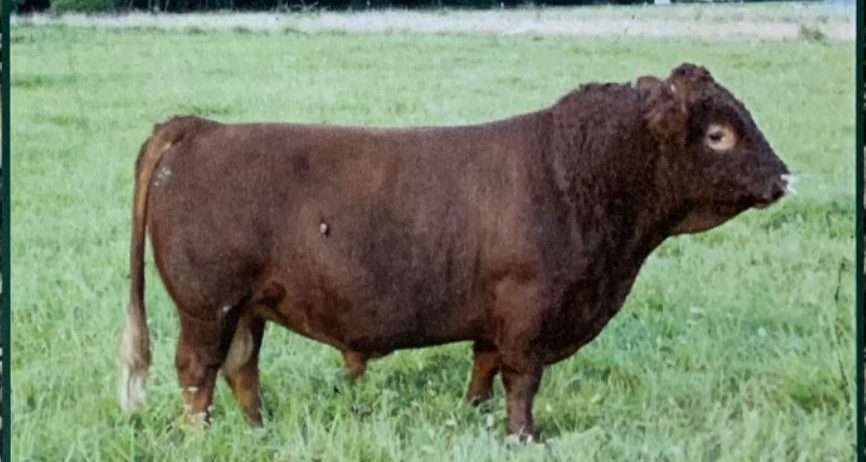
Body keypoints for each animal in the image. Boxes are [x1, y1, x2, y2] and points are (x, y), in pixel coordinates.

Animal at [119, 63, 790, 439]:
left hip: (247, 307)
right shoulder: (528, 315)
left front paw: (473, 417)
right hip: (207, 306)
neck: (575, 174)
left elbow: (484, 372)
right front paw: (525, 437)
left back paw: (260, 431)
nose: (784, 176)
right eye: (718, 134)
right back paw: (203, 437)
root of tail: (202, 127)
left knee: (240, 367)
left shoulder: (496, 321)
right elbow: (522, 382)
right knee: (198, 372)